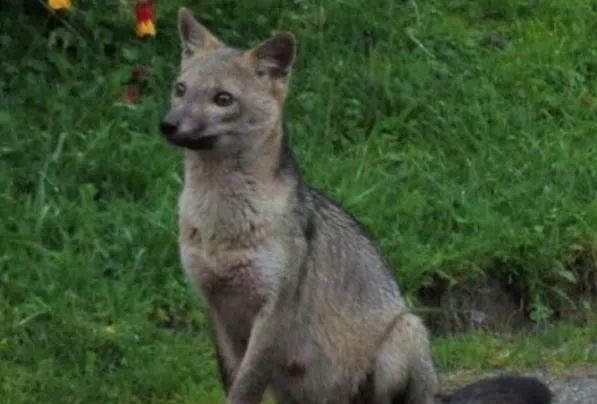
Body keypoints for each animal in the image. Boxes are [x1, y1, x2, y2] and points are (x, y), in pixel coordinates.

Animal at [159, 7, 553, 404]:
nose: (168, 125)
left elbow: (245, 388)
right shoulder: (216, 309)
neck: (221, 224)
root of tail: (438, 393)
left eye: (222, 99)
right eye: (181, 89)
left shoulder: (274, 315)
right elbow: (232, 383)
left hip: (403, 336)